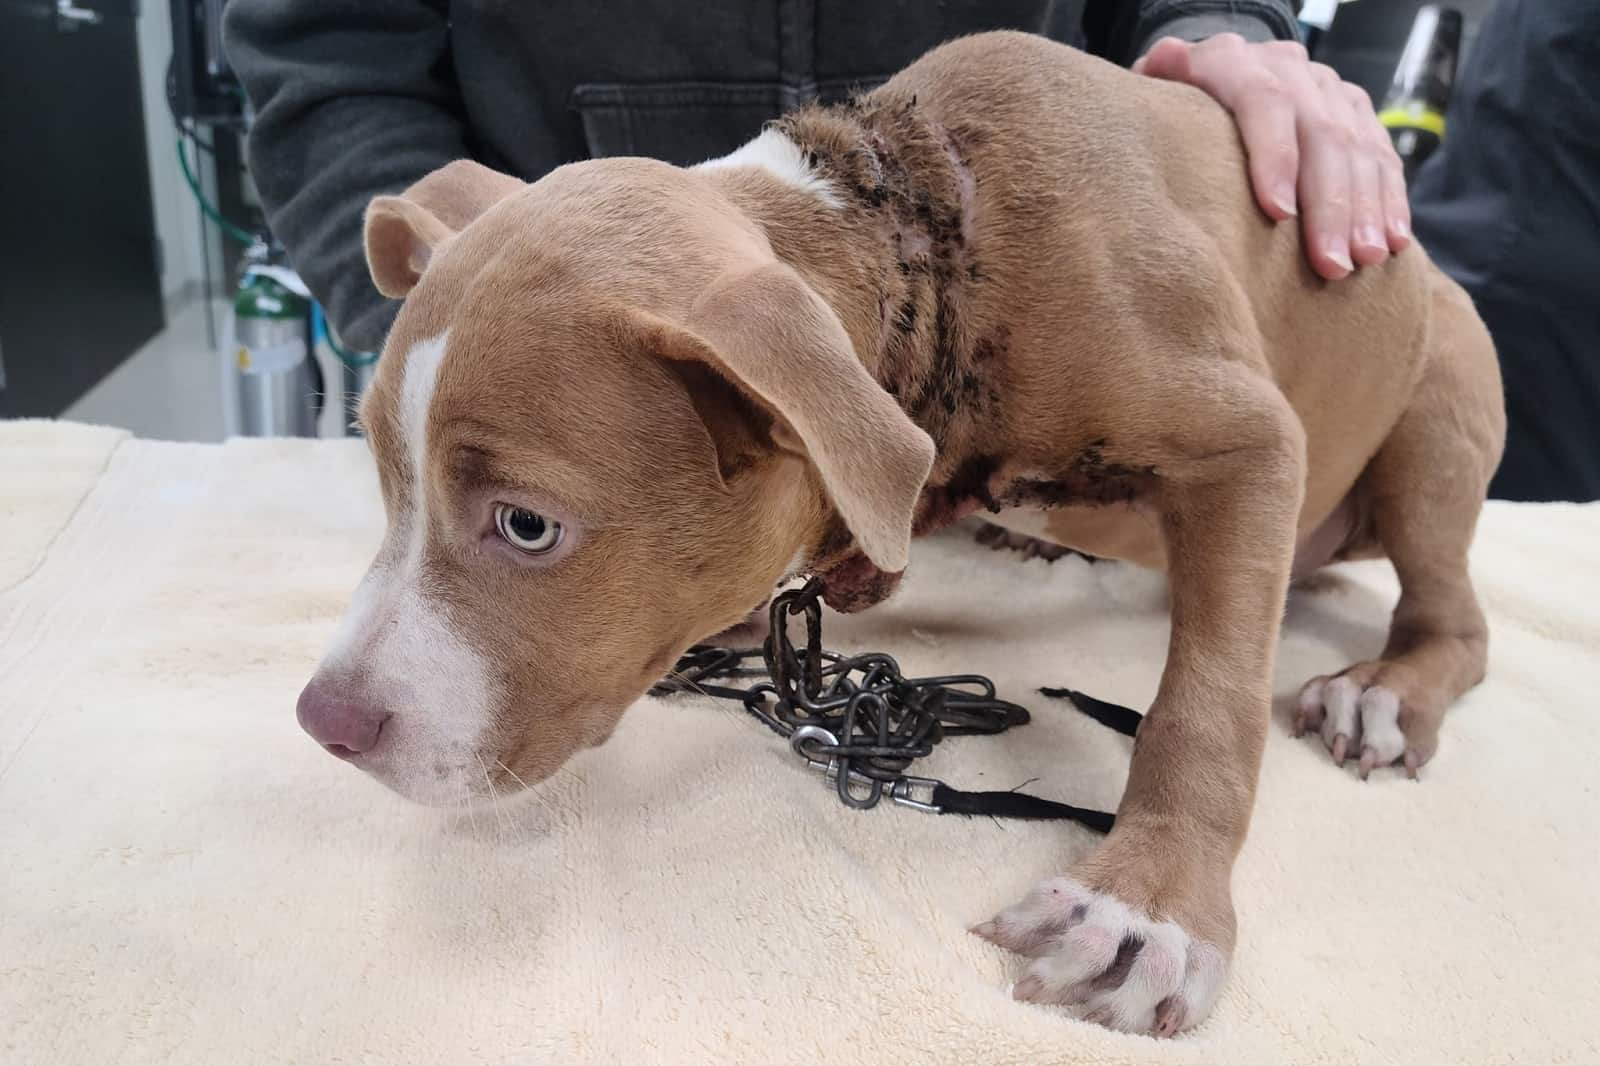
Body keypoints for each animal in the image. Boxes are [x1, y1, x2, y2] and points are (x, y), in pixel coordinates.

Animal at [297, 35, 1497, 1037]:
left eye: (528, 524)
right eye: (386, 475)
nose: (325, 725)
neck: (928, 237)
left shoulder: (1250, 447)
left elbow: (1207, 701)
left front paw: (1147, 909)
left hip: (1437, 419)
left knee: (1455, 617)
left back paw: (1380, 690)